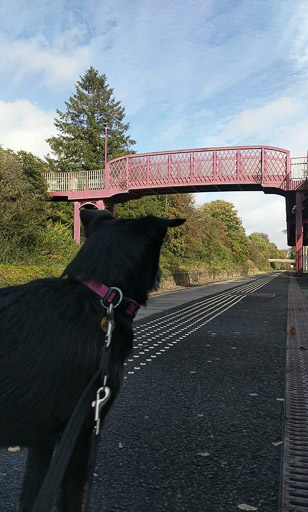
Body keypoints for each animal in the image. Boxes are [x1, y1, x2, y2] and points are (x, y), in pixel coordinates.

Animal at [0, 210, 184, 510]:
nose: (161, 275)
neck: (100, 297)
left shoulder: (44, 443)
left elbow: (32, 494)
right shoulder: (83, 433)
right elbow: (73, 497)